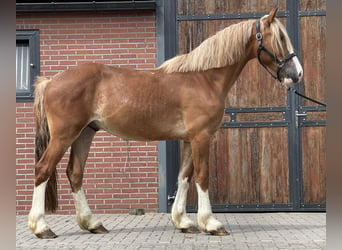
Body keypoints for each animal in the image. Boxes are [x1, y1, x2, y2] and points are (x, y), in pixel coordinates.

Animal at [28, 8, 302, 238]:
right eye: (279, 38)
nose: (296, 74)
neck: (204, 78)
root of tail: (50, 81)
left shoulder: (190, 139)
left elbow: (184, 177)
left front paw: (183, 222)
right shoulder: (202, 137)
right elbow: (202, 177)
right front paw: (211, 223)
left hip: (85, 133)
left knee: (75, 173)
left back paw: (93, 223)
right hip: (65, 135)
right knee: (43, 170)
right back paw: (42, 227)